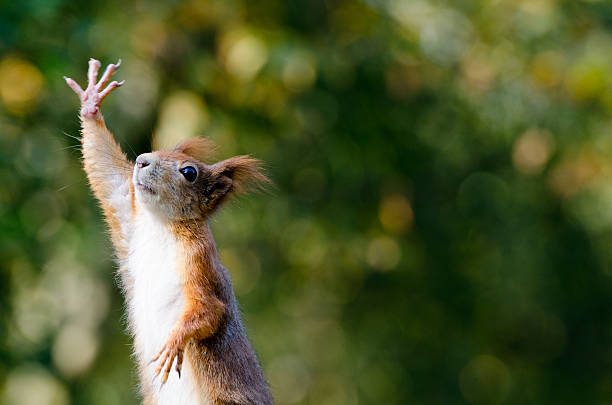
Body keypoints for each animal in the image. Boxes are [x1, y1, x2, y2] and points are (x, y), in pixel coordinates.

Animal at [64, 57, 272, 404]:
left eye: (189, 172)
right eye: (157, 150)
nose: (141, 161)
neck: (161, 226)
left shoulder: (200, 261)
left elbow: (208, 310)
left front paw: (174, 342)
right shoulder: (130, 216)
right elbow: (107, 176)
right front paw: (92, 101)